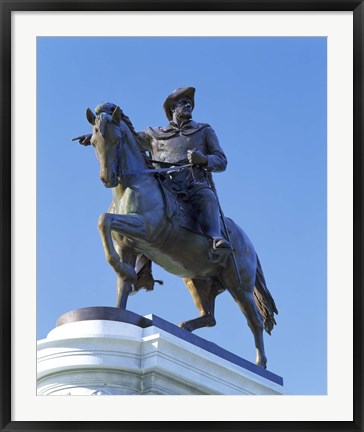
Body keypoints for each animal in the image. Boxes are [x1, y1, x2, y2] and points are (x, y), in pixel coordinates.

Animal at [79, 104, 278, 368]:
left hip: (239, 285)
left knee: (254, 320)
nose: (107, 178)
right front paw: (121, 304)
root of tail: (249, 244)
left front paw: (127, 272)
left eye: (117, 139)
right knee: (210, 316)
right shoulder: (127, 246)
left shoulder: (145, 229)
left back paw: (260, 364)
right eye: (93, 142)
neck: (135, 185)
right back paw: (186, 327)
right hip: (197, 279)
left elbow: (104, 220)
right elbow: (119, 275)